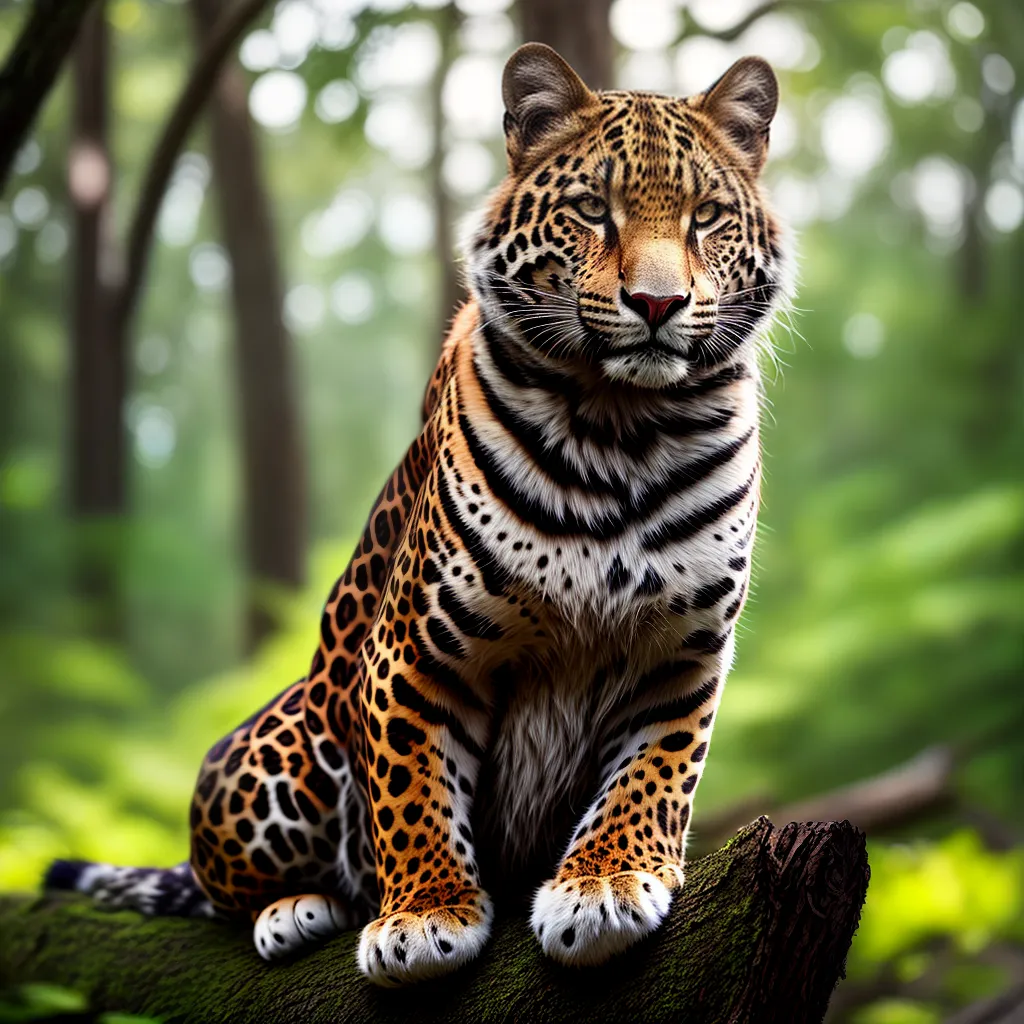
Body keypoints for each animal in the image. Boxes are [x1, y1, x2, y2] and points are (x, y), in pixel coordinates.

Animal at [45, 43, 792, 987]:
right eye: (594, 210)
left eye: (706, 219)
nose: (657, 305)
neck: (620, 428)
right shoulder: (413, 652)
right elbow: (415, 791)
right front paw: (425, 915)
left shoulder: (681, 651)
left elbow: (653, 778)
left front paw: (607, 881)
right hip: (268, 746)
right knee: (223, 887)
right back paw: (295, 910)